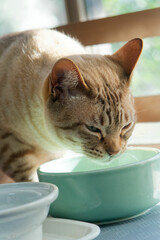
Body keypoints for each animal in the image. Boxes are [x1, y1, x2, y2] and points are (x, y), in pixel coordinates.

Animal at [0, 28, 142, 182]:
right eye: (93, 129)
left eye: (126, 126)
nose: (114, 153)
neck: (50, 141)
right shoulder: (12, 148)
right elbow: (31, 180)